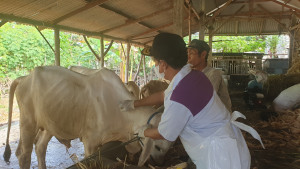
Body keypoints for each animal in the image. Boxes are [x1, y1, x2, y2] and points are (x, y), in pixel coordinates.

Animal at [3, 66, 171, 169]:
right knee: (24, 155)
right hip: (28, 123)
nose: (160, 162)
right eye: (157, 147)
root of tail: (24, 78)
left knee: (40, 148)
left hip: (49, 124)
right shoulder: (90, 142)